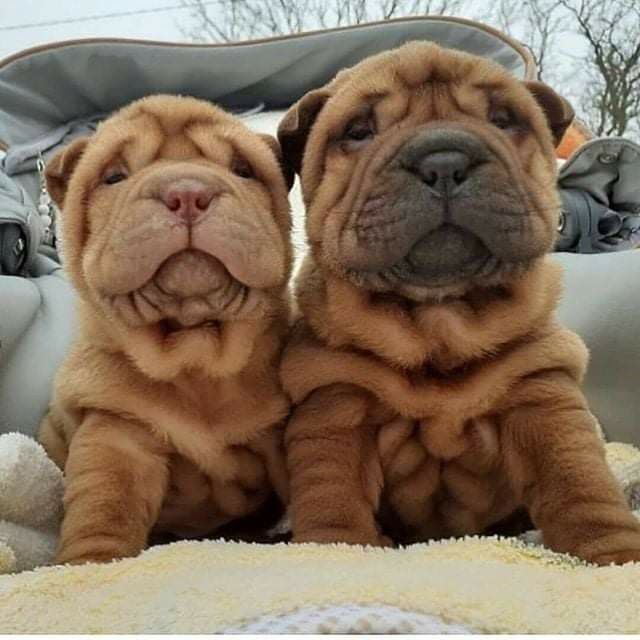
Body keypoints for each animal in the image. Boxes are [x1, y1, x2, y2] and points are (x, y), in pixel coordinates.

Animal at [41, 95, 296, 564]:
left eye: (243, 170)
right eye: (114, 176)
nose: (188, 193)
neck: (194, 355)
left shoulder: (283, 435)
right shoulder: (119, 432)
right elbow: (103, 507)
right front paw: (90, 564)